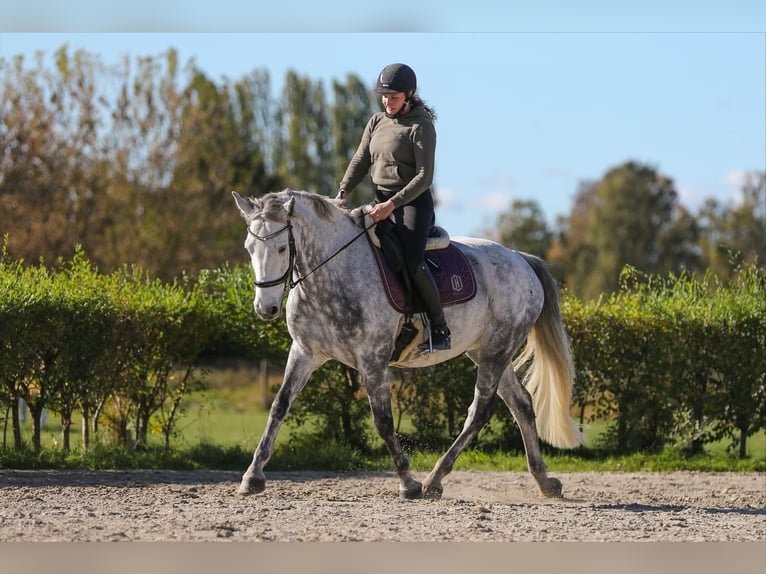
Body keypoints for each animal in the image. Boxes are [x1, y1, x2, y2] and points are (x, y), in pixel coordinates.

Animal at [232, 189, 582, 500]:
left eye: (281, 248)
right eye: (249, 247)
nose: (266, 308)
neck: (331, 275)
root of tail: (521, 259)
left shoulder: (373, 359)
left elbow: (384, 421)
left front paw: (408, 482)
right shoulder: (305, 352)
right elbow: (279, 406)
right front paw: (252, 476)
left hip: (496, 352)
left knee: (480, 411)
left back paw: (434, 480)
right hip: (487, 352)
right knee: (521, 404)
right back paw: (544, 481)